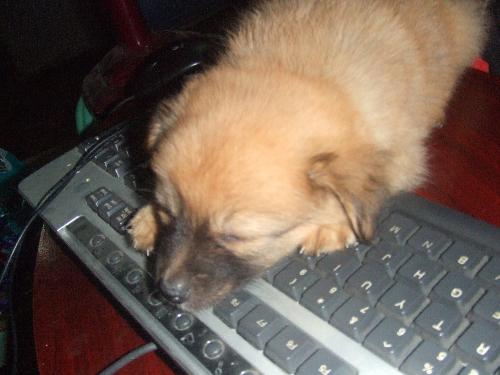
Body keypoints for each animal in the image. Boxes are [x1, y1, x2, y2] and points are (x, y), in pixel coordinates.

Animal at [129, 1, 488, 310]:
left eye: (235, 237)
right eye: (167, 211)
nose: (167, 292)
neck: (292, 65)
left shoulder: (403, 157)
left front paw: (331, 225)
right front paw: (146, 219)